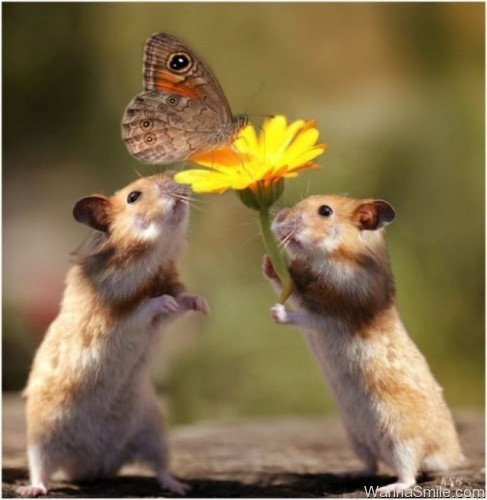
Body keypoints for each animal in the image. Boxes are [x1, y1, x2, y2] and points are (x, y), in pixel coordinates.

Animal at [16, 171, 208, 496]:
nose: (181, 181)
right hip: (43, 438)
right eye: (134, 196)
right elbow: (145, 309)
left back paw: (180, 487)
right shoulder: (112, 321)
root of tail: (96, 465)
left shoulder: (161, 316)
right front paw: (164, 301)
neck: (150, 262)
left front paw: (203, 305)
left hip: (153, 432)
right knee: (41, 470)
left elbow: (182, 303)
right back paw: (32, 489)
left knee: (160, 466)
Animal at [264, 193, 464, 494]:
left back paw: (388, 489)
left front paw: (275, 313)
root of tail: (449, 456)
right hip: (356, 437)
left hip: (400, 438)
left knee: (409, 473)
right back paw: (348, 473)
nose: (277, 218)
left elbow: (303, 314)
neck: (338, 255)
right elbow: (291, 289)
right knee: (370, 465)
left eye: (325, 211)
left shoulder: (337, 314)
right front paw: (267, 264)